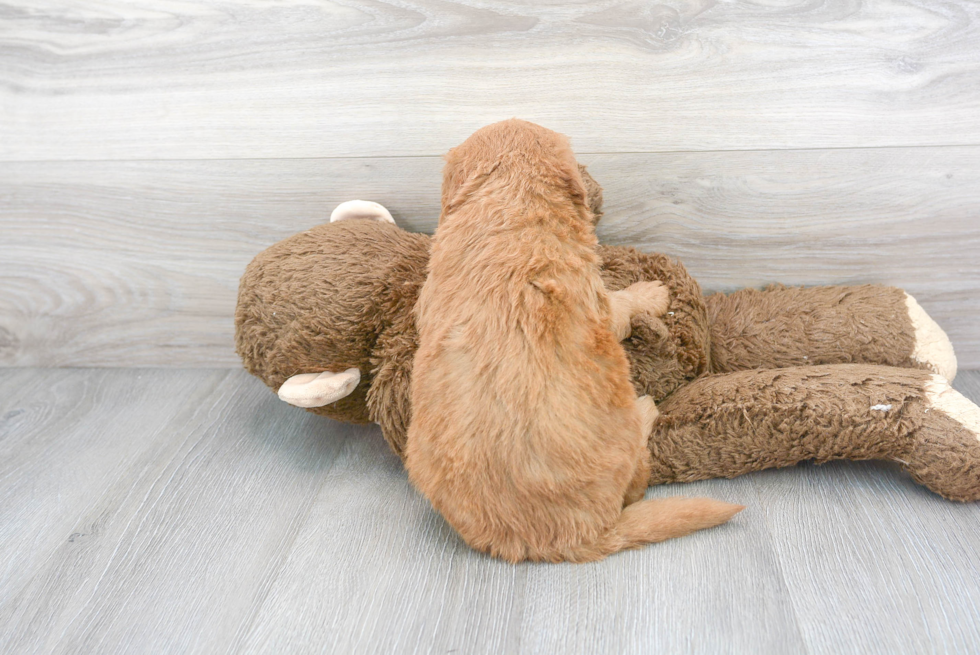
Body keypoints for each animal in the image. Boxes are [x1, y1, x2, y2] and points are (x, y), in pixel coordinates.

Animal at [406, 119, 744, 564]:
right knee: (637, 477)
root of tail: (572, 538)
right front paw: (652, 293)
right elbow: (623, 304)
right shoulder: (596, 297)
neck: (512, 204)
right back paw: (646, 408)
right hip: (622, 441)